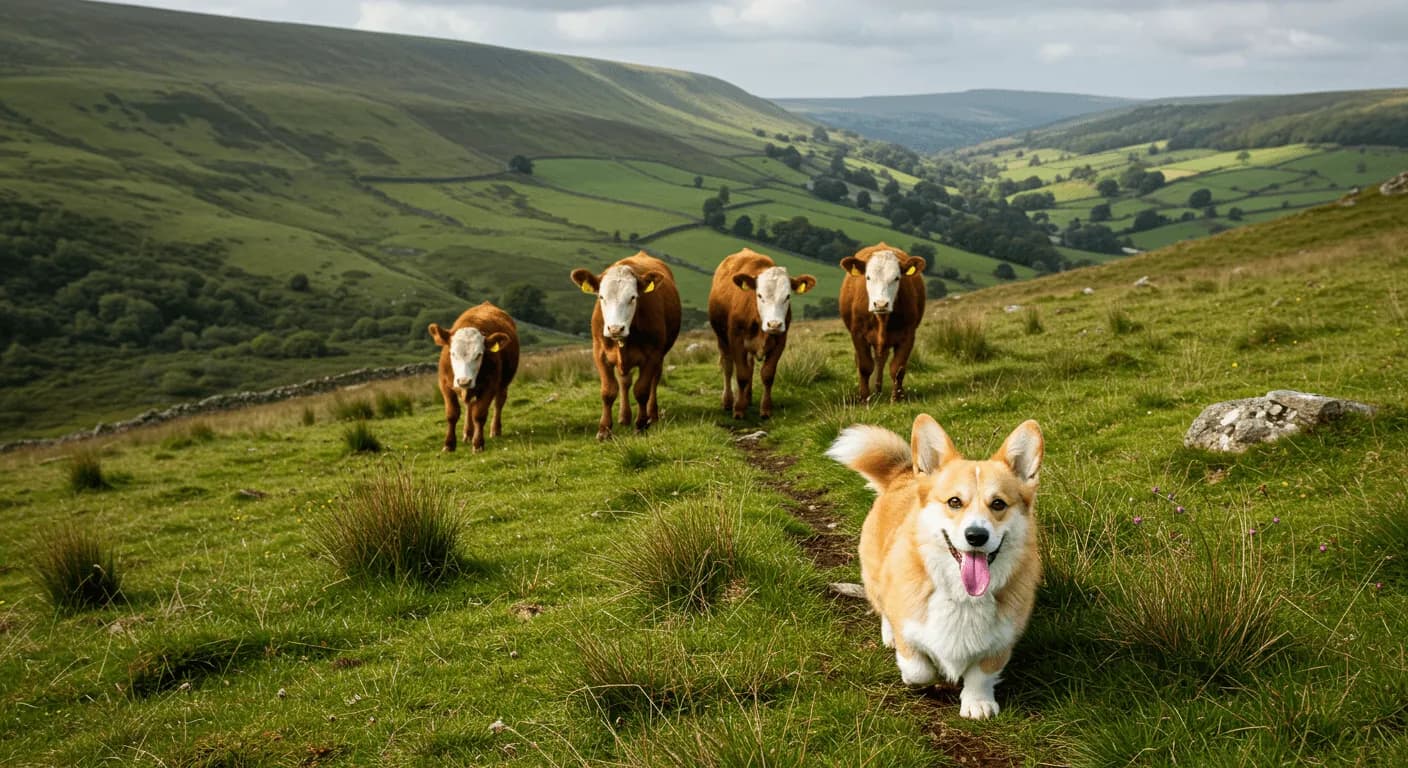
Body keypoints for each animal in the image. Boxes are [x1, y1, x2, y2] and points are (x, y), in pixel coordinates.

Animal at [427, 301, 519, 453]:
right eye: (453, 353)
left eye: (479, 355)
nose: (464, 381)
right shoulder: (445, 385)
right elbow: (452, 414)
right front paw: (449, 444)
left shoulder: (490, 386)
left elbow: (479, 414)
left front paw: (478, 444)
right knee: (469, 405)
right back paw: (468, 433)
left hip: (503, 383)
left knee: (499, 403)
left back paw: (495, 430)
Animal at [570, 252, 682, 440]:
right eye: (601, 297)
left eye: (633, 297)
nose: (615, 328)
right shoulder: (599, 353)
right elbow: (608, 391)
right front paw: (604, 430)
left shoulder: (652, 355)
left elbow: (642, 390)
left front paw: (641, 425)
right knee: (624, 382)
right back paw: (624, 416)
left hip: (661, 354)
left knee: (654, 380)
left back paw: (652, 415)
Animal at [707, 248, 817, 419]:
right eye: (759, 295)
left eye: (788, 296)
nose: (774, 324)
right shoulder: (736, 340)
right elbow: (741, 374)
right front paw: (739, 409)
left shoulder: (780, 341)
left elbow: (767, 374)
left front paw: (765, 409)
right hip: (722, 338)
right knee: (728, 366)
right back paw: (728, 400)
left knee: (750, 365)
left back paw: (748, 397)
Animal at [839, 242, 927, 402]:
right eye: (868, 277)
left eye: (897, 278)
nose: (881, 304)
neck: (882, 319)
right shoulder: (858, 334)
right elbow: (864, 367)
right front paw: (864, 399)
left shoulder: (908, 334)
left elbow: (898, 368)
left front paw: (897, 398)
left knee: (881, 360)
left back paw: (879, 389)